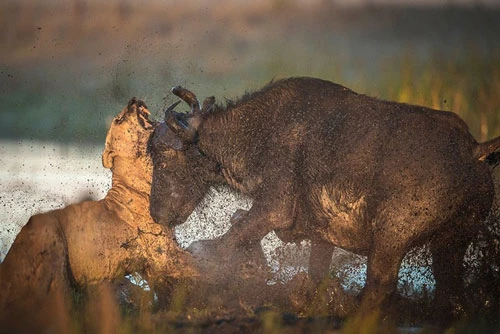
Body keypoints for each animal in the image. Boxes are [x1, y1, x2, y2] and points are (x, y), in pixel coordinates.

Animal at [0, 98, 195, 332]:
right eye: (119, 119)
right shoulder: (163, 253)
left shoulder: (154, 261)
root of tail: (6, 263)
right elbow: (197, 268)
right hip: (48, 236)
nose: (133, 101)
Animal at [148, 76, 500, 320]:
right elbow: (316, 270)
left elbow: (233, 235)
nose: (155, 213)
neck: (259, 131)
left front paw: (200, 257)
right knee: (449, 289)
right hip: (453, 239)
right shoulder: (322, 234)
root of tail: (472, 150)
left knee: (381, 284)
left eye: (162, 159)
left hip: (392, 236)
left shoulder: (273, 207)